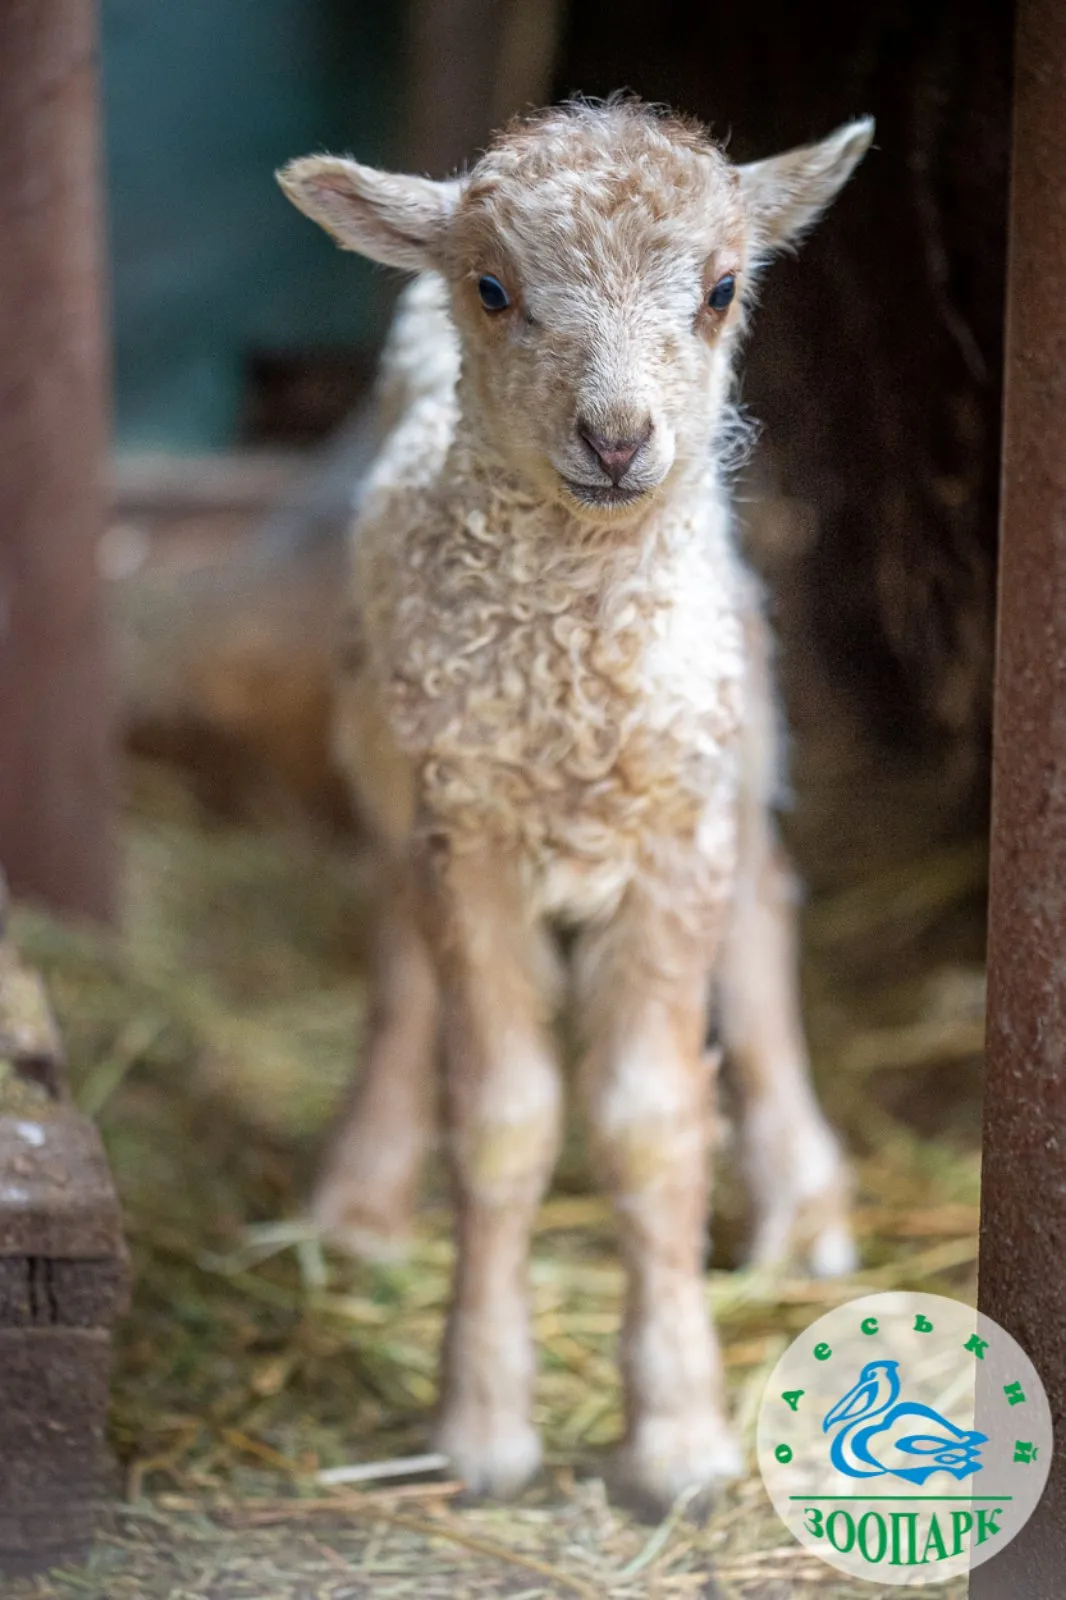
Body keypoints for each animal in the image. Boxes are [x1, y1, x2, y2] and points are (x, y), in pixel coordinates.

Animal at [278, 100, 870, 1510]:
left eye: (720, 289)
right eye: (496, 290)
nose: (615, 437)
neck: (571, 679)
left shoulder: (677, 828)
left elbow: (652, 1125)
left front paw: (681, 1437)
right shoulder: (469, 832)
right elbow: (502, 1120)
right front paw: (483, 1424)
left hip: (737, 726)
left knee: (764, 927)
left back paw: (802, 1206)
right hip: (388, 761)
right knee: (399, 968)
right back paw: (359, 1200)